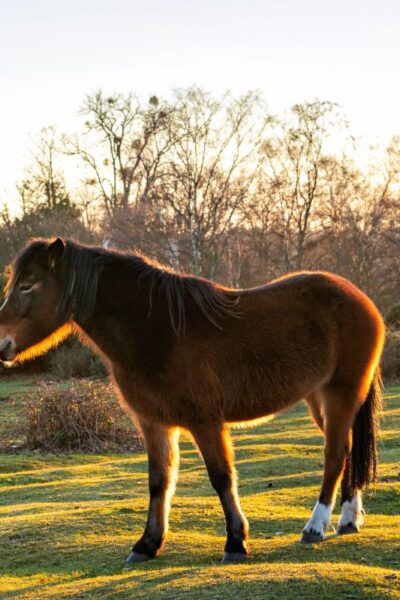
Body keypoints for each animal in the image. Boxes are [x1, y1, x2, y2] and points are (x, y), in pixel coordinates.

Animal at [0, 237, 384, 564]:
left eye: (28, 285)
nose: (2, 344)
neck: (158, 329)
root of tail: (359, 298)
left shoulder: (205, 421)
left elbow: (221, 476)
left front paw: (236, 542)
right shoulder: (153, 423)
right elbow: (159, 480)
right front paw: (147, 544)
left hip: (340, 394)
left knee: (334, 456)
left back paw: (315, 527)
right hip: (320, 400)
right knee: (348, 450)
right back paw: (348, 521)